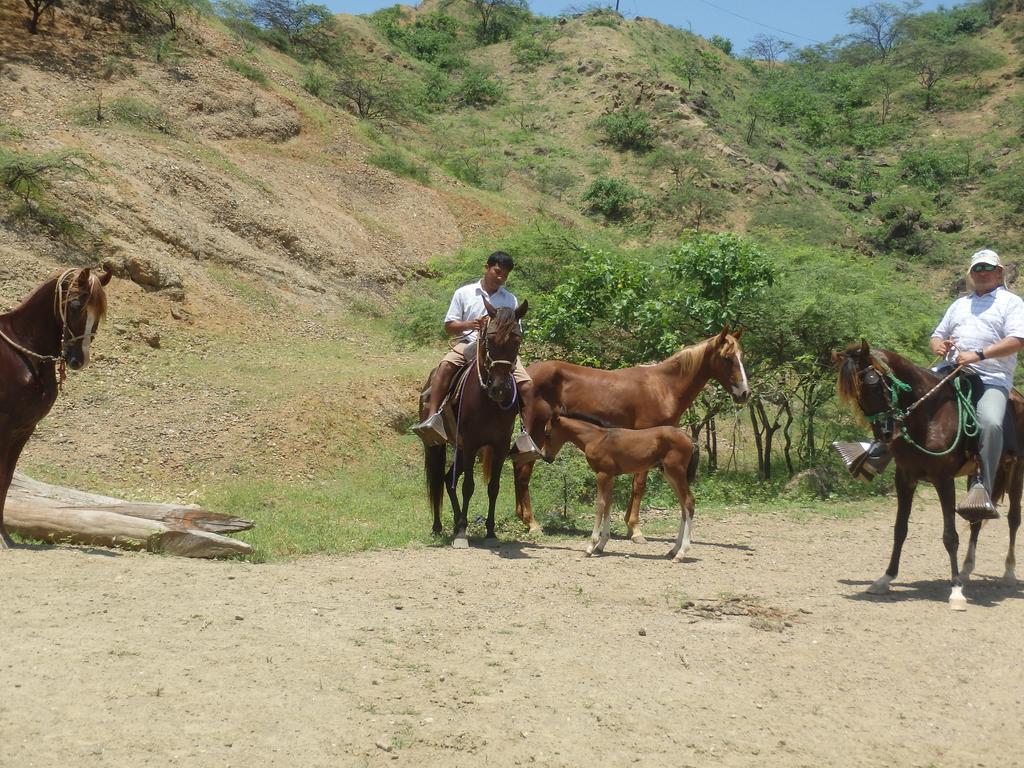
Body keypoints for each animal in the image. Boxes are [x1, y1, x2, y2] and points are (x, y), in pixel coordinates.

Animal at [0, 268, 112, 548]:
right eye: (74, 305)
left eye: (99, 312)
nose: (79, 359)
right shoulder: (4, 427)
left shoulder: (24, 429)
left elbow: (6, 479)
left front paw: (5, 536)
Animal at [419, 301, 528, 548]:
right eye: (490, 339)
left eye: (517, 340)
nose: (499, 388)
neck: (487, 401)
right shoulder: (470, 444)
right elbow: (468, 486)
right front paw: (461, 533)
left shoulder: (499, 446)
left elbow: (493, 487)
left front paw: (490, 532)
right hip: (438, 445)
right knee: (439, 480)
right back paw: (440, 526)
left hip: (459, 448)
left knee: (447, 479)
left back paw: (457, 521)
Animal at [516, 329, 749, 540]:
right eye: (727, 358)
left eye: (742, 355)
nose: (744, 393)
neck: (664, 387)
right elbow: (639, 484)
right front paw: (635, 529)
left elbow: (636, 484)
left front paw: (629, 524)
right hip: (536, 431)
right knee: (524, 470)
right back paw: (532, 523)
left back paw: (522, 518)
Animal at [540, 417, 700, 561]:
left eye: (547, 433)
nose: (545, 457)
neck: (596, 438)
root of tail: (689, 439)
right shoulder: (610, 476)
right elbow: (609, 504)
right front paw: (601, 545)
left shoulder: (602, 474)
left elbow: (600, 505)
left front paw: (590, 547)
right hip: (668, 473)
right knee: (683, 506)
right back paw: (673, 551)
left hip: (676, 472)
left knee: (689, 502)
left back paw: (681, 553)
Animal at [835, 342, 1019, 614]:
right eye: (857, 395)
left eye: (874, 384)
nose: (885, 433)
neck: (929, 416)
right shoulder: (905, 478)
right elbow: (900, 529)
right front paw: (885, 578)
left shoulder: (944, 479)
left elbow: (950, 536)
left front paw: (956, 591)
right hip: (976, 476)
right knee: (977, 517)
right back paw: (966, 570)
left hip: (1016, 471)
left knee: (1014, 519)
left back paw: (1008, 572)